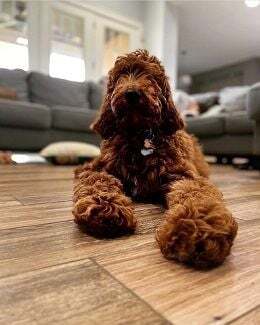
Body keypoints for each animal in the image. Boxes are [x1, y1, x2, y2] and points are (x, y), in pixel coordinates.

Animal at [72, 49, 238, 268]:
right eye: (120, 76)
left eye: (150, 76)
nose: (132, 93)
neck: (139, 136)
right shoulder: (96, 168)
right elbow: (98, 182)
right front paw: (106, 207)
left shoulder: (183, 175)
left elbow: (195, 194)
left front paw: (195, 227)